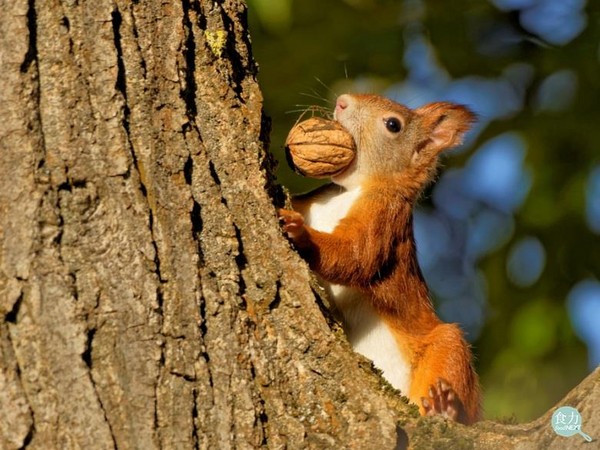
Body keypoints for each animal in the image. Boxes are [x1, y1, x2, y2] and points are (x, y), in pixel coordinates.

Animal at [278, 93, 480, 424]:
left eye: (393, 125)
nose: (342, 101)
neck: (351, 189)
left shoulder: (385, 219)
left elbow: (355, 255)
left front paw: (303, 235)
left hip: (445, 348)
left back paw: (445, 409)